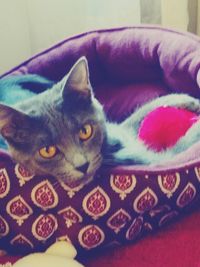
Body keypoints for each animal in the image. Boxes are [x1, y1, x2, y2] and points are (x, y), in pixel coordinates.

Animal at [0, 57, 200, 185]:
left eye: (85, 131)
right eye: (47, 151)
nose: (82, 165)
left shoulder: (122, 129)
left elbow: (140, 112)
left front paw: (186, 100)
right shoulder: (157, 159)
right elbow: (183, 146)